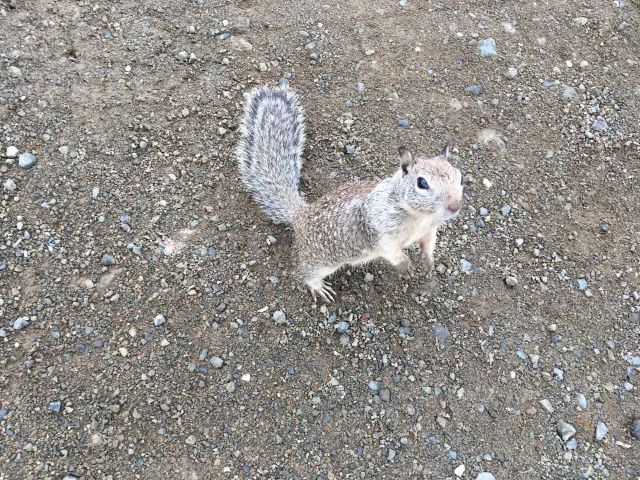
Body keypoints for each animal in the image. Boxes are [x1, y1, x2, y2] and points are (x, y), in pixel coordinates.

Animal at [236, 85, 463, 302]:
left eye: (460, 177)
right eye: (422, 183)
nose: (455, 206)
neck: (421, 217)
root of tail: (300, 215)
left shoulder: (429, 230)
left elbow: (428, 244)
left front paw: (427, 262)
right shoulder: (379, 230)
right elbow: (390, 250)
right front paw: (404, 265)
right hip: (321, 261)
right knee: (304, 272)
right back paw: (318, 287)